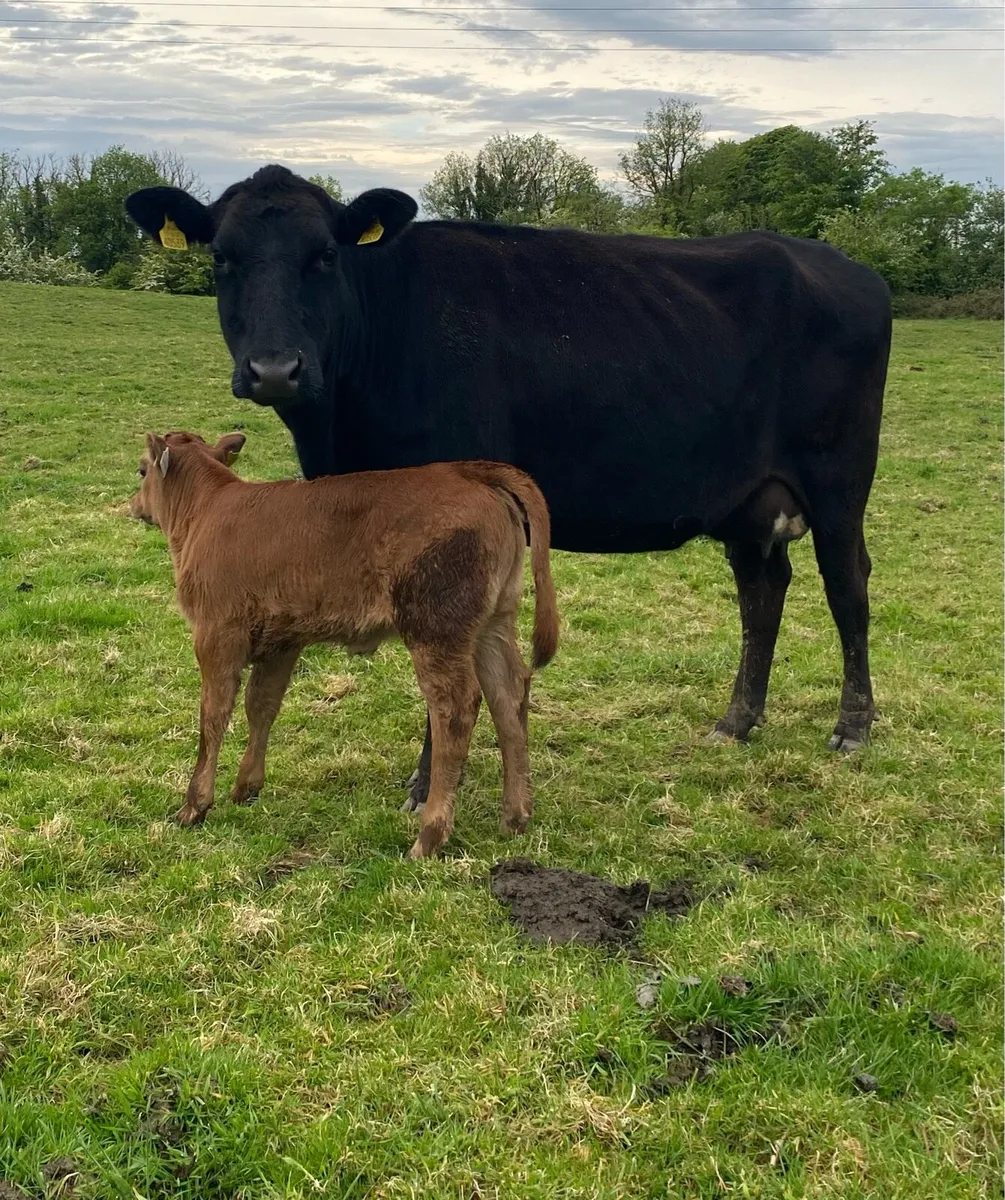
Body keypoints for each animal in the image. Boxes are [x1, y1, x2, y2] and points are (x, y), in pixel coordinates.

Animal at [126, 166, 891, 808]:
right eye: (222, 258)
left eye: (325, 255)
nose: (275, 369)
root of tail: (842, 266)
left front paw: (427, 784)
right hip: (749, 503)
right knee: (762, 595)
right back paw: (736, 720)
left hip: (838, 482)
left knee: (846, 587)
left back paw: (852, 726)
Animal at [128, 429, 558, 857]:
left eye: (141, 470)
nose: (134, 506)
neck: (207, 511)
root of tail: (466, 472)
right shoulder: (282, 642)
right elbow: (261, 707)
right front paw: (246, 787)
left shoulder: (216, 635)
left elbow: (213, 718)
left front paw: (195, 805)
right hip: (492, 624)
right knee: (508, 695)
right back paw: (515, 816)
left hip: (435, 629)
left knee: (455, 709)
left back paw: (430, 834)